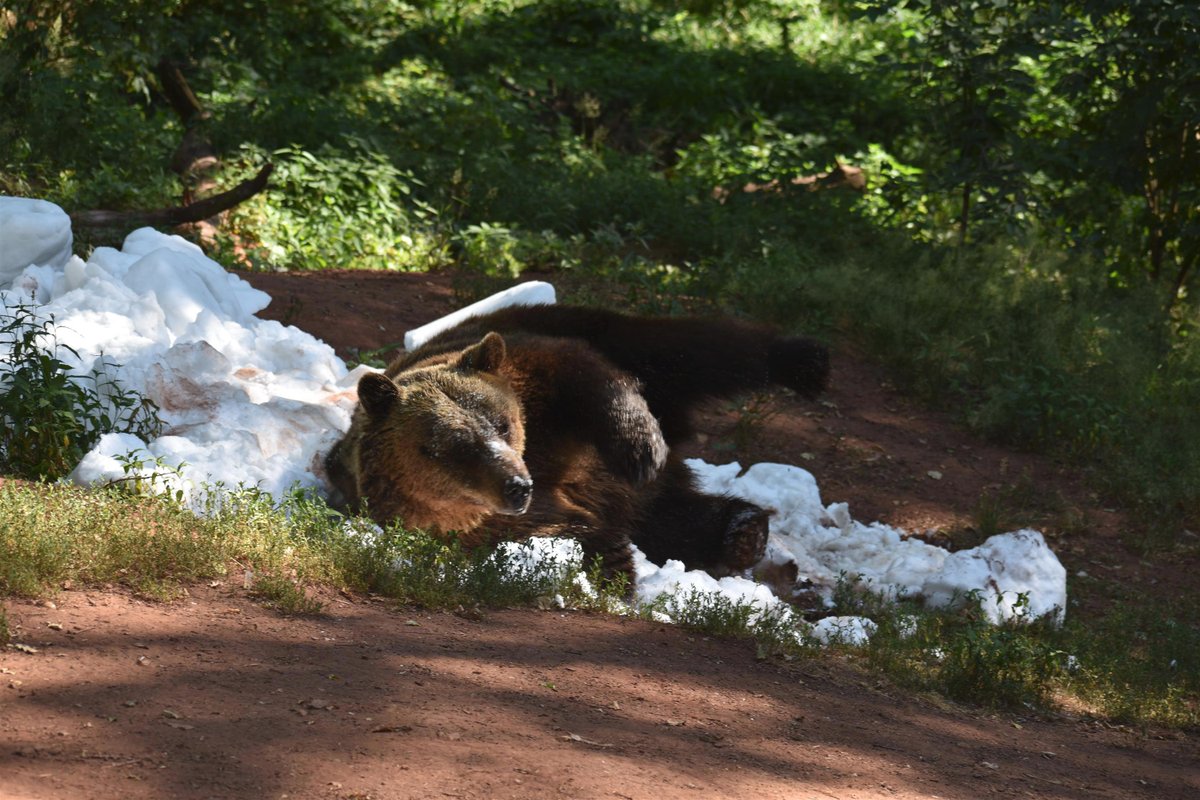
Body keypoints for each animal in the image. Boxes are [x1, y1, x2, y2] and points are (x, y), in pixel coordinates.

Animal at [324, 303, 830, 585]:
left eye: (502, 424)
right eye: (453, 445)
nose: (517, 485)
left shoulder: (536, 380)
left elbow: (583, 376)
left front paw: (641, 450)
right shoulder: (476, 524)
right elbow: (574, 529)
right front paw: (615, 567)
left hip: (606, 338)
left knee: (699, 351)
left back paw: (802, 362)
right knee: (669, 517)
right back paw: (740, 530)